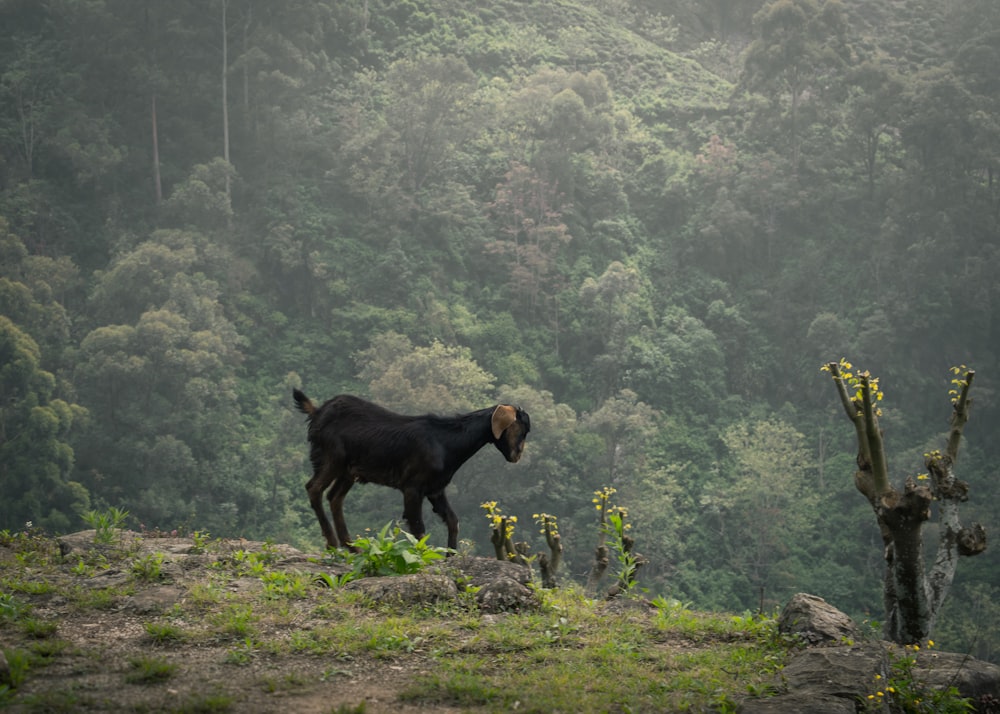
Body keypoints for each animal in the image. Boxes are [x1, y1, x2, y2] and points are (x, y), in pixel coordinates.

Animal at [292, 390, 532, 552]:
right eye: (521, 429)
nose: (517, 456)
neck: (445, 441)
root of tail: (318, 412)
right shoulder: (412, 488)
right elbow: (418, 527)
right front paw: (423, 555)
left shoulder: (435, 489)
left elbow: (452, 520)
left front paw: (451, 555)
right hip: (332, 458)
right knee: (314, 489)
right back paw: (333, 543)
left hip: (348, 470)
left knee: (335, 497)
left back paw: (352, 546)